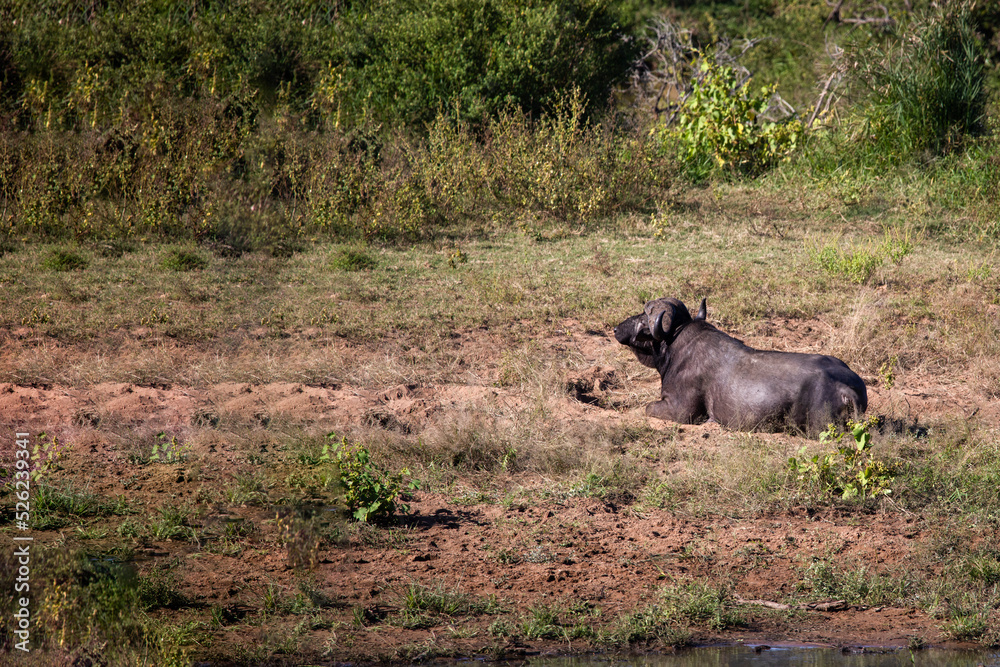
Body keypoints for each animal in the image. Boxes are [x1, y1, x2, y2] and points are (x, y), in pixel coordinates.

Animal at [614, 297, 867, 436]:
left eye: (643, 317)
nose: (617, 328)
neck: (674, 346)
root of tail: (847, 388)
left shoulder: (681, 411)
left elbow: (647, 408)